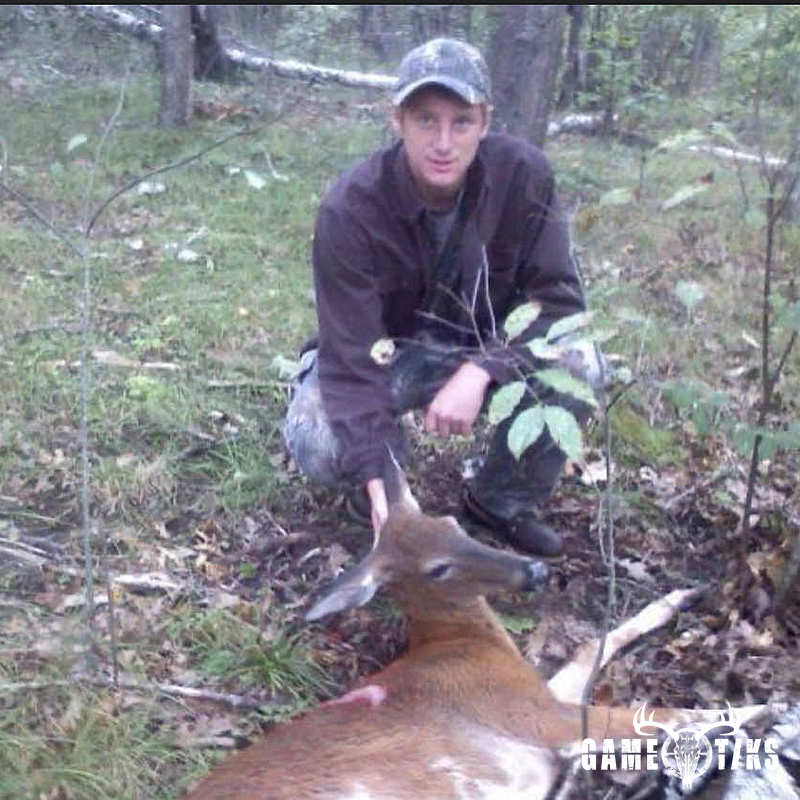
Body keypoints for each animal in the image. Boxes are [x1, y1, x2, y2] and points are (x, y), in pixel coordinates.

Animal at [184, 455, 774, 800]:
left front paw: (681, 596)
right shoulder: (529, 713)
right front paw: (765, 707)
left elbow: (592, 644)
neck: (462, 643)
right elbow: (658, 716)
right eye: (436, 569)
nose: (534, 571)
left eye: (452, 522)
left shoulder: (532, 690)